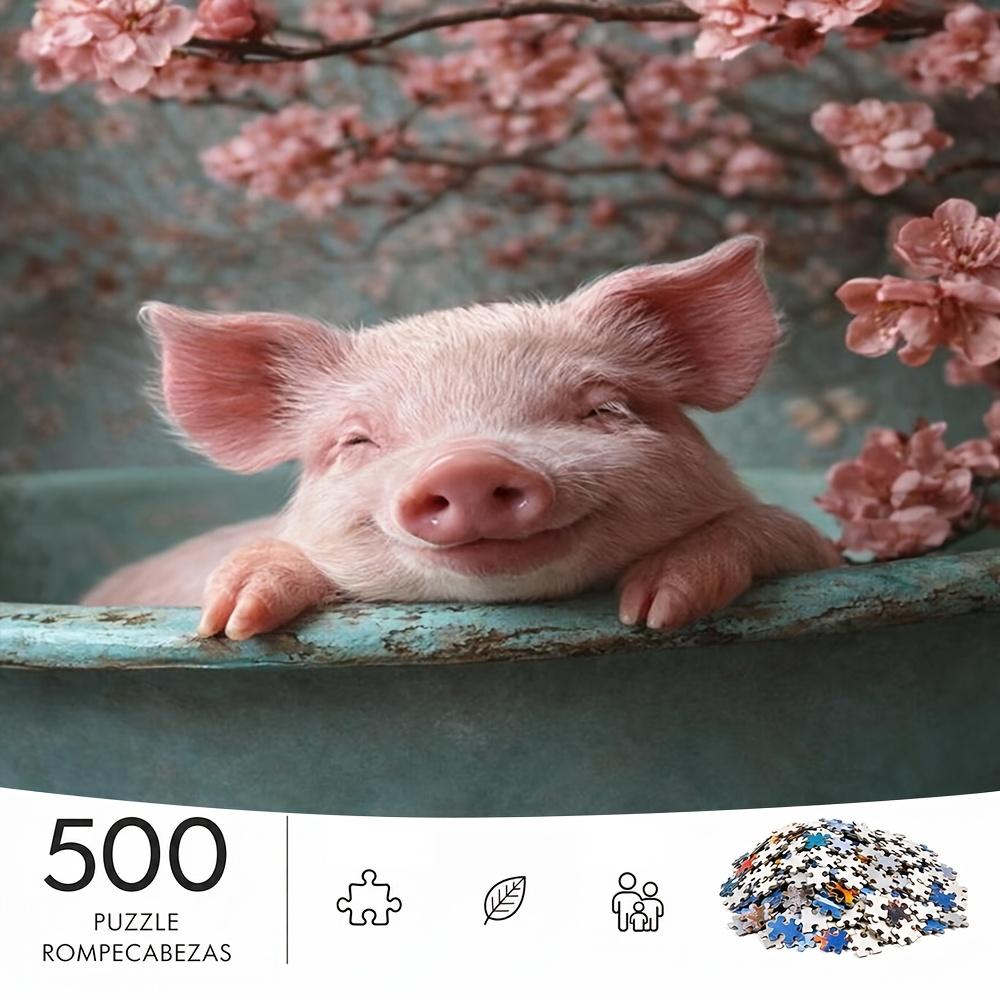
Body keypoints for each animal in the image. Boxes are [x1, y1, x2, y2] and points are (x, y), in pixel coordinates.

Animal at [83, 236, 840, 639]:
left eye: (604, 409)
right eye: (357, 442)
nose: (468, 464)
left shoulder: (818, 553)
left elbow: (775, 534)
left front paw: (651, 612)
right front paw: (229, 623)